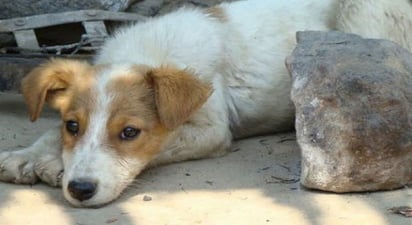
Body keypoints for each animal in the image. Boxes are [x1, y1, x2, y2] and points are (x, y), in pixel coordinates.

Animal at [0, 0, 412, 207]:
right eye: (72, 125)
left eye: (130, 132)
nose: (80, 190)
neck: (149, 53)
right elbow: (50, 136)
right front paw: (27, 155)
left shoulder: (212, 130)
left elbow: (163, 142)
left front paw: (53, 165)